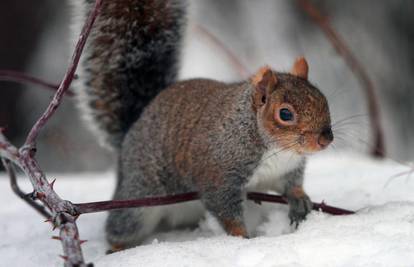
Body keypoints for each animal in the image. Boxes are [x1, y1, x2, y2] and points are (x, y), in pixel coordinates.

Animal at [73, 0, 334, 252]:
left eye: (323, 98)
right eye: (285, 114)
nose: (326, 139)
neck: (276, 148)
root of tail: (132, 130)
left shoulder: (287, 169)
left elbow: (292, 186)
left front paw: (300, 199)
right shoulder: (219, 175)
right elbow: (225, 210)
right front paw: (241, 238)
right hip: (138, 197)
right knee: (121, 226)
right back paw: (115, 248)